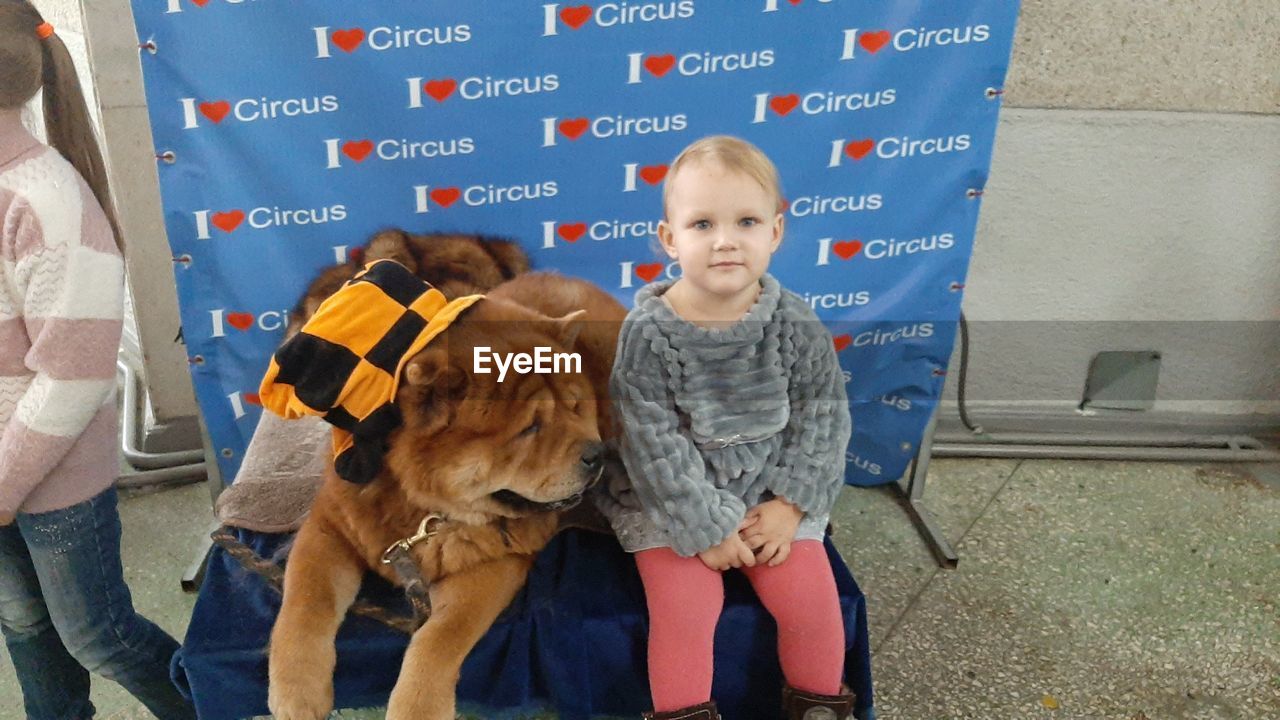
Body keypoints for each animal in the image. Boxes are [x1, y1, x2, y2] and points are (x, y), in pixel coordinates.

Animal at [266, 233, 624, 712]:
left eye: (575, 406)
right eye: (529, 428)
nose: (595, 454)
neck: (420, 509)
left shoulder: (494, 563)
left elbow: (440, 637)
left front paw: (416, 707)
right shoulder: (330, 527)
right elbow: (306, 602)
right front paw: (297, 692)